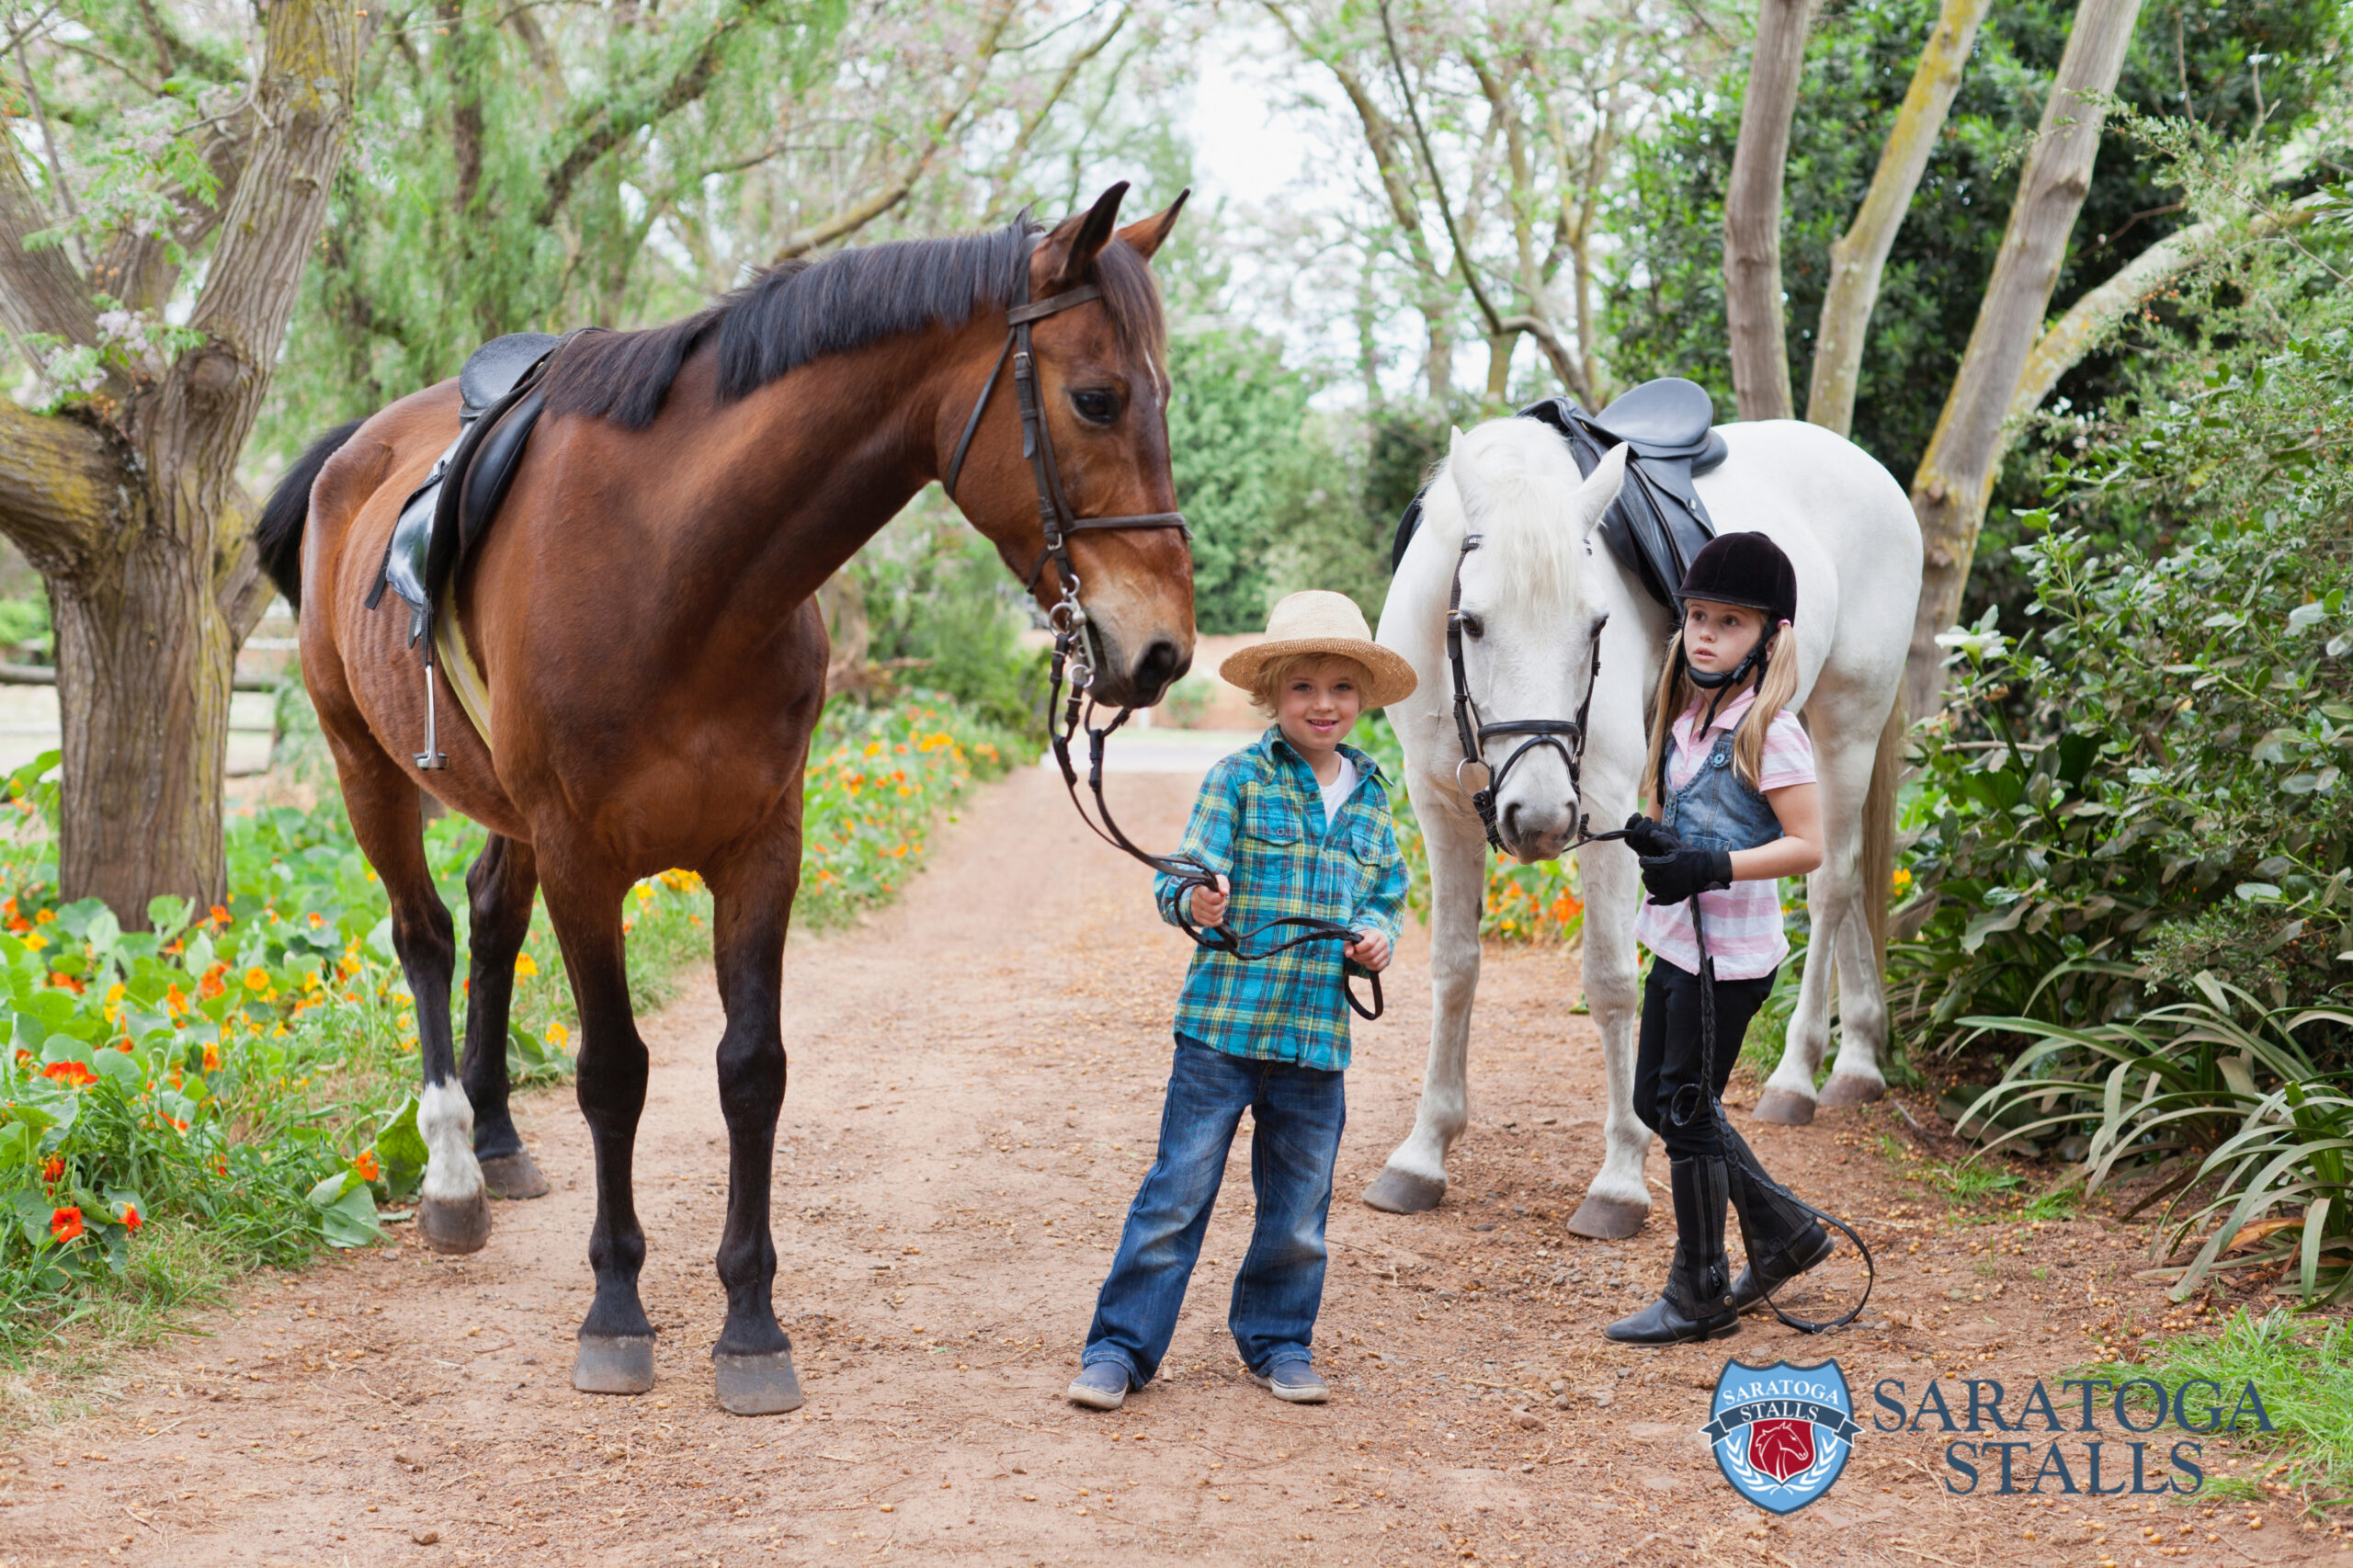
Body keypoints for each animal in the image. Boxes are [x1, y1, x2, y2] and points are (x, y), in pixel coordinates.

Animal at [253, 185, 1195, 1413]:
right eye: (1096, 397)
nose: (1164, 650)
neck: (677, 567)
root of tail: (350, 454)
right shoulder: (584, 857)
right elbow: (615, 1073)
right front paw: (616, 1309)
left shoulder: (761, 849)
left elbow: (752, 1071)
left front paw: (750, 1323)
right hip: (365, 767)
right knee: (426, 934)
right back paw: (456, 1167)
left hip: (503, 809)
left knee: (491, 919)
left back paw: (499, 1137)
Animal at [1361, 414, 1919, 1239]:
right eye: (1474, 623)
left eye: (1597, 624)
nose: (1539, 818)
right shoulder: (1438, 810)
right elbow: (1454, 969)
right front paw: (1423, 1153)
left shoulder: (1608, 812)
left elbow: (1612, 982)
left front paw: (1621, 1176)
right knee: (1848, 889)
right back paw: (1857, 1061)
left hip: (1847, 725)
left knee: (1831, 884)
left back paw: (1798, 1074)